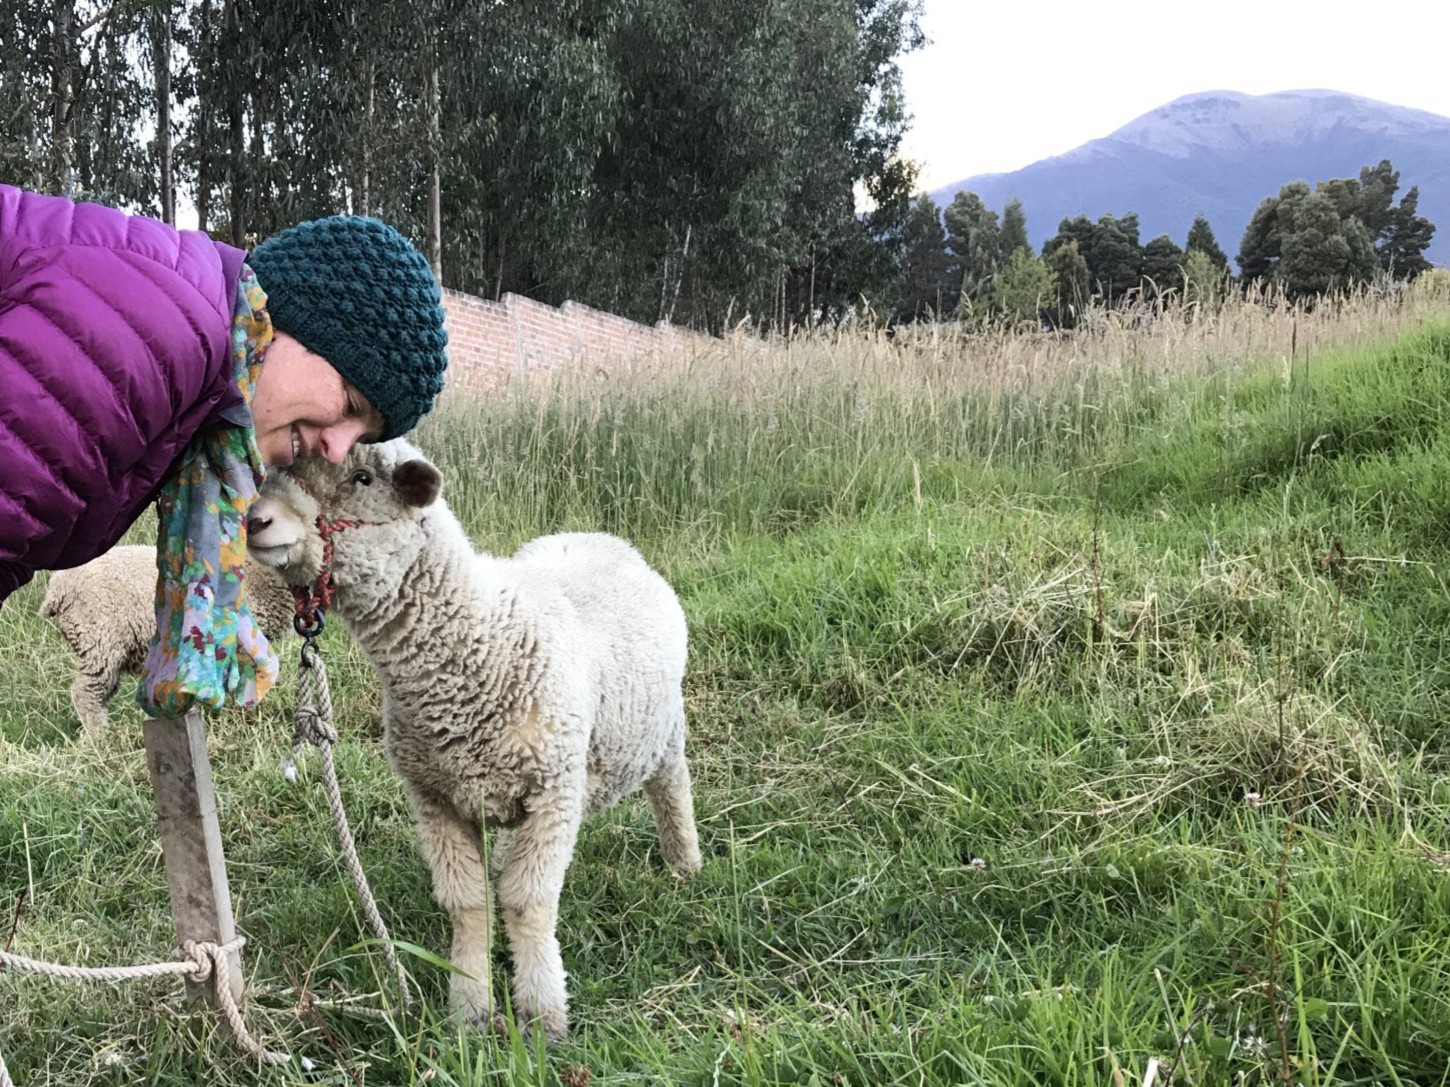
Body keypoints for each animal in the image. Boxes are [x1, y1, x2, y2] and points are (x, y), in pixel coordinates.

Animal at [245, 437, 701, 1043]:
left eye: (362, 479)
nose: (255, 520)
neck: (480, 638)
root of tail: (600, 536)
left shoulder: (555, 791)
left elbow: (529, 904)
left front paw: (543, 1017)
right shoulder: (435, 798)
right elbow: (468, 903)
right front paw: (471, 1010)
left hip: (664, 729)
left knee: (672, 790)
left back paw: (685, 866)